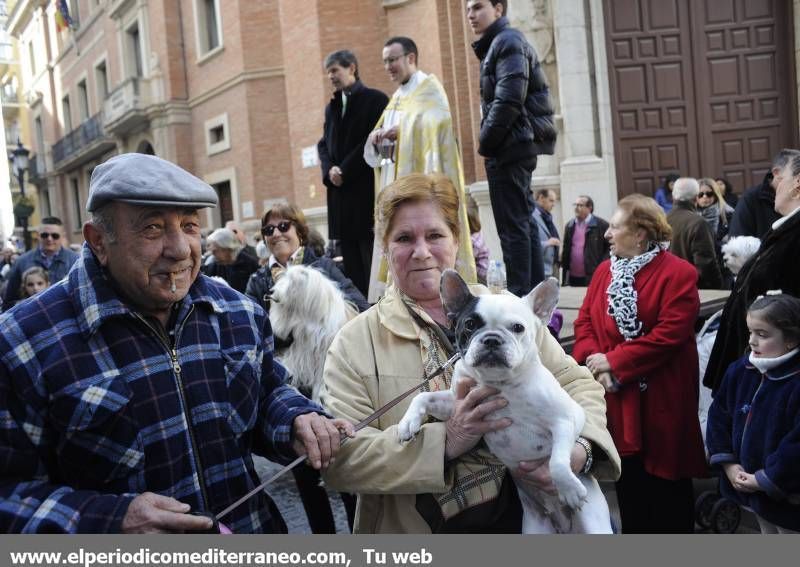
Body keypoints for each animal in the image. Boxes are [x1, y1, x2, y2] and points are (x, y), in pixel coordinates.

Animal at [268, 266, 350, 404]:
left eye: (292, 281)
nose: (271, 291)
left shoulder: (322, 359)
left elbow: (319, 383)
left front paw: (317, 401)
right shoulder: (296, 353)